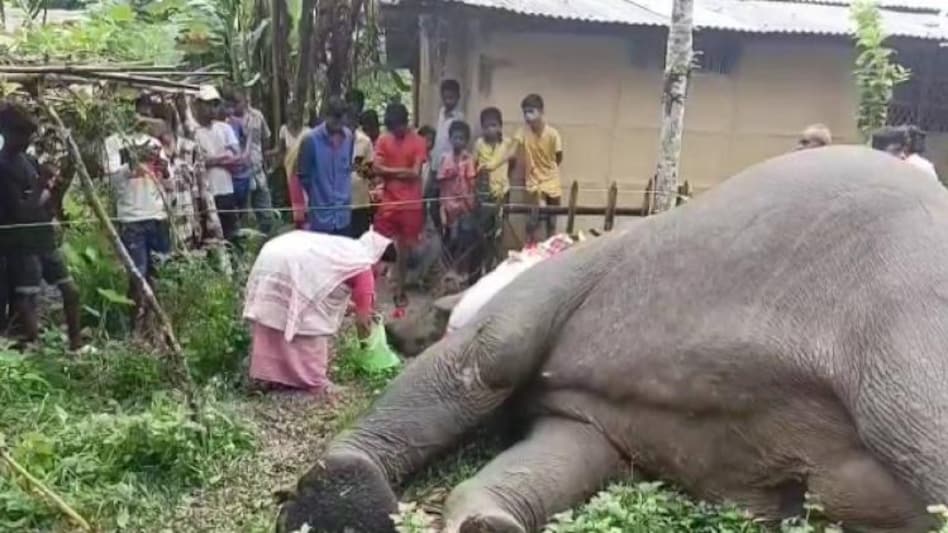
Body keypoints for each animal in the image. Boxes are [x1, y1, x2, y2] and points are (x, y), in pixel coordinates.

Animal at [278, 145, 948, 532]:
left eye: (430, 304)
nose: (391, 326)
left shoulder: (551, 285)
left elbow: (487, 360)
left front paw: (338, 496)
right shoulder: (595, 423)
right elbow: (559, 457)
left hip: (901, 320)